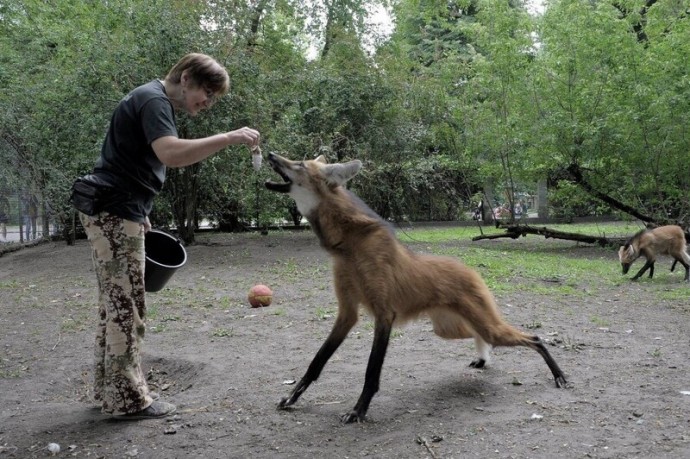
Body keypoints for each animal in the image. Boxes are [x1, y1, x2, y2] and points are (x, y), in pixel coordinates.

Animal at [264, 154, 564, 424]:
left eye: (299, 164)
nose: (270, 154)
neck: (349, 245)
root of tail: (470, 270)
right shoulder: (347, 313)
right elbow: (317, 362)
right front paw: (291, 398)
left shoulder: (384, 314)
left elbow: (371, 372)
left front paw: (358, 411)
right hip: (448, 328)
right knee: (480, 335)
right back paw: (483, 358)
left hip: (481, 325)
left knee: (532, 338)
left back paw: (558, 375)